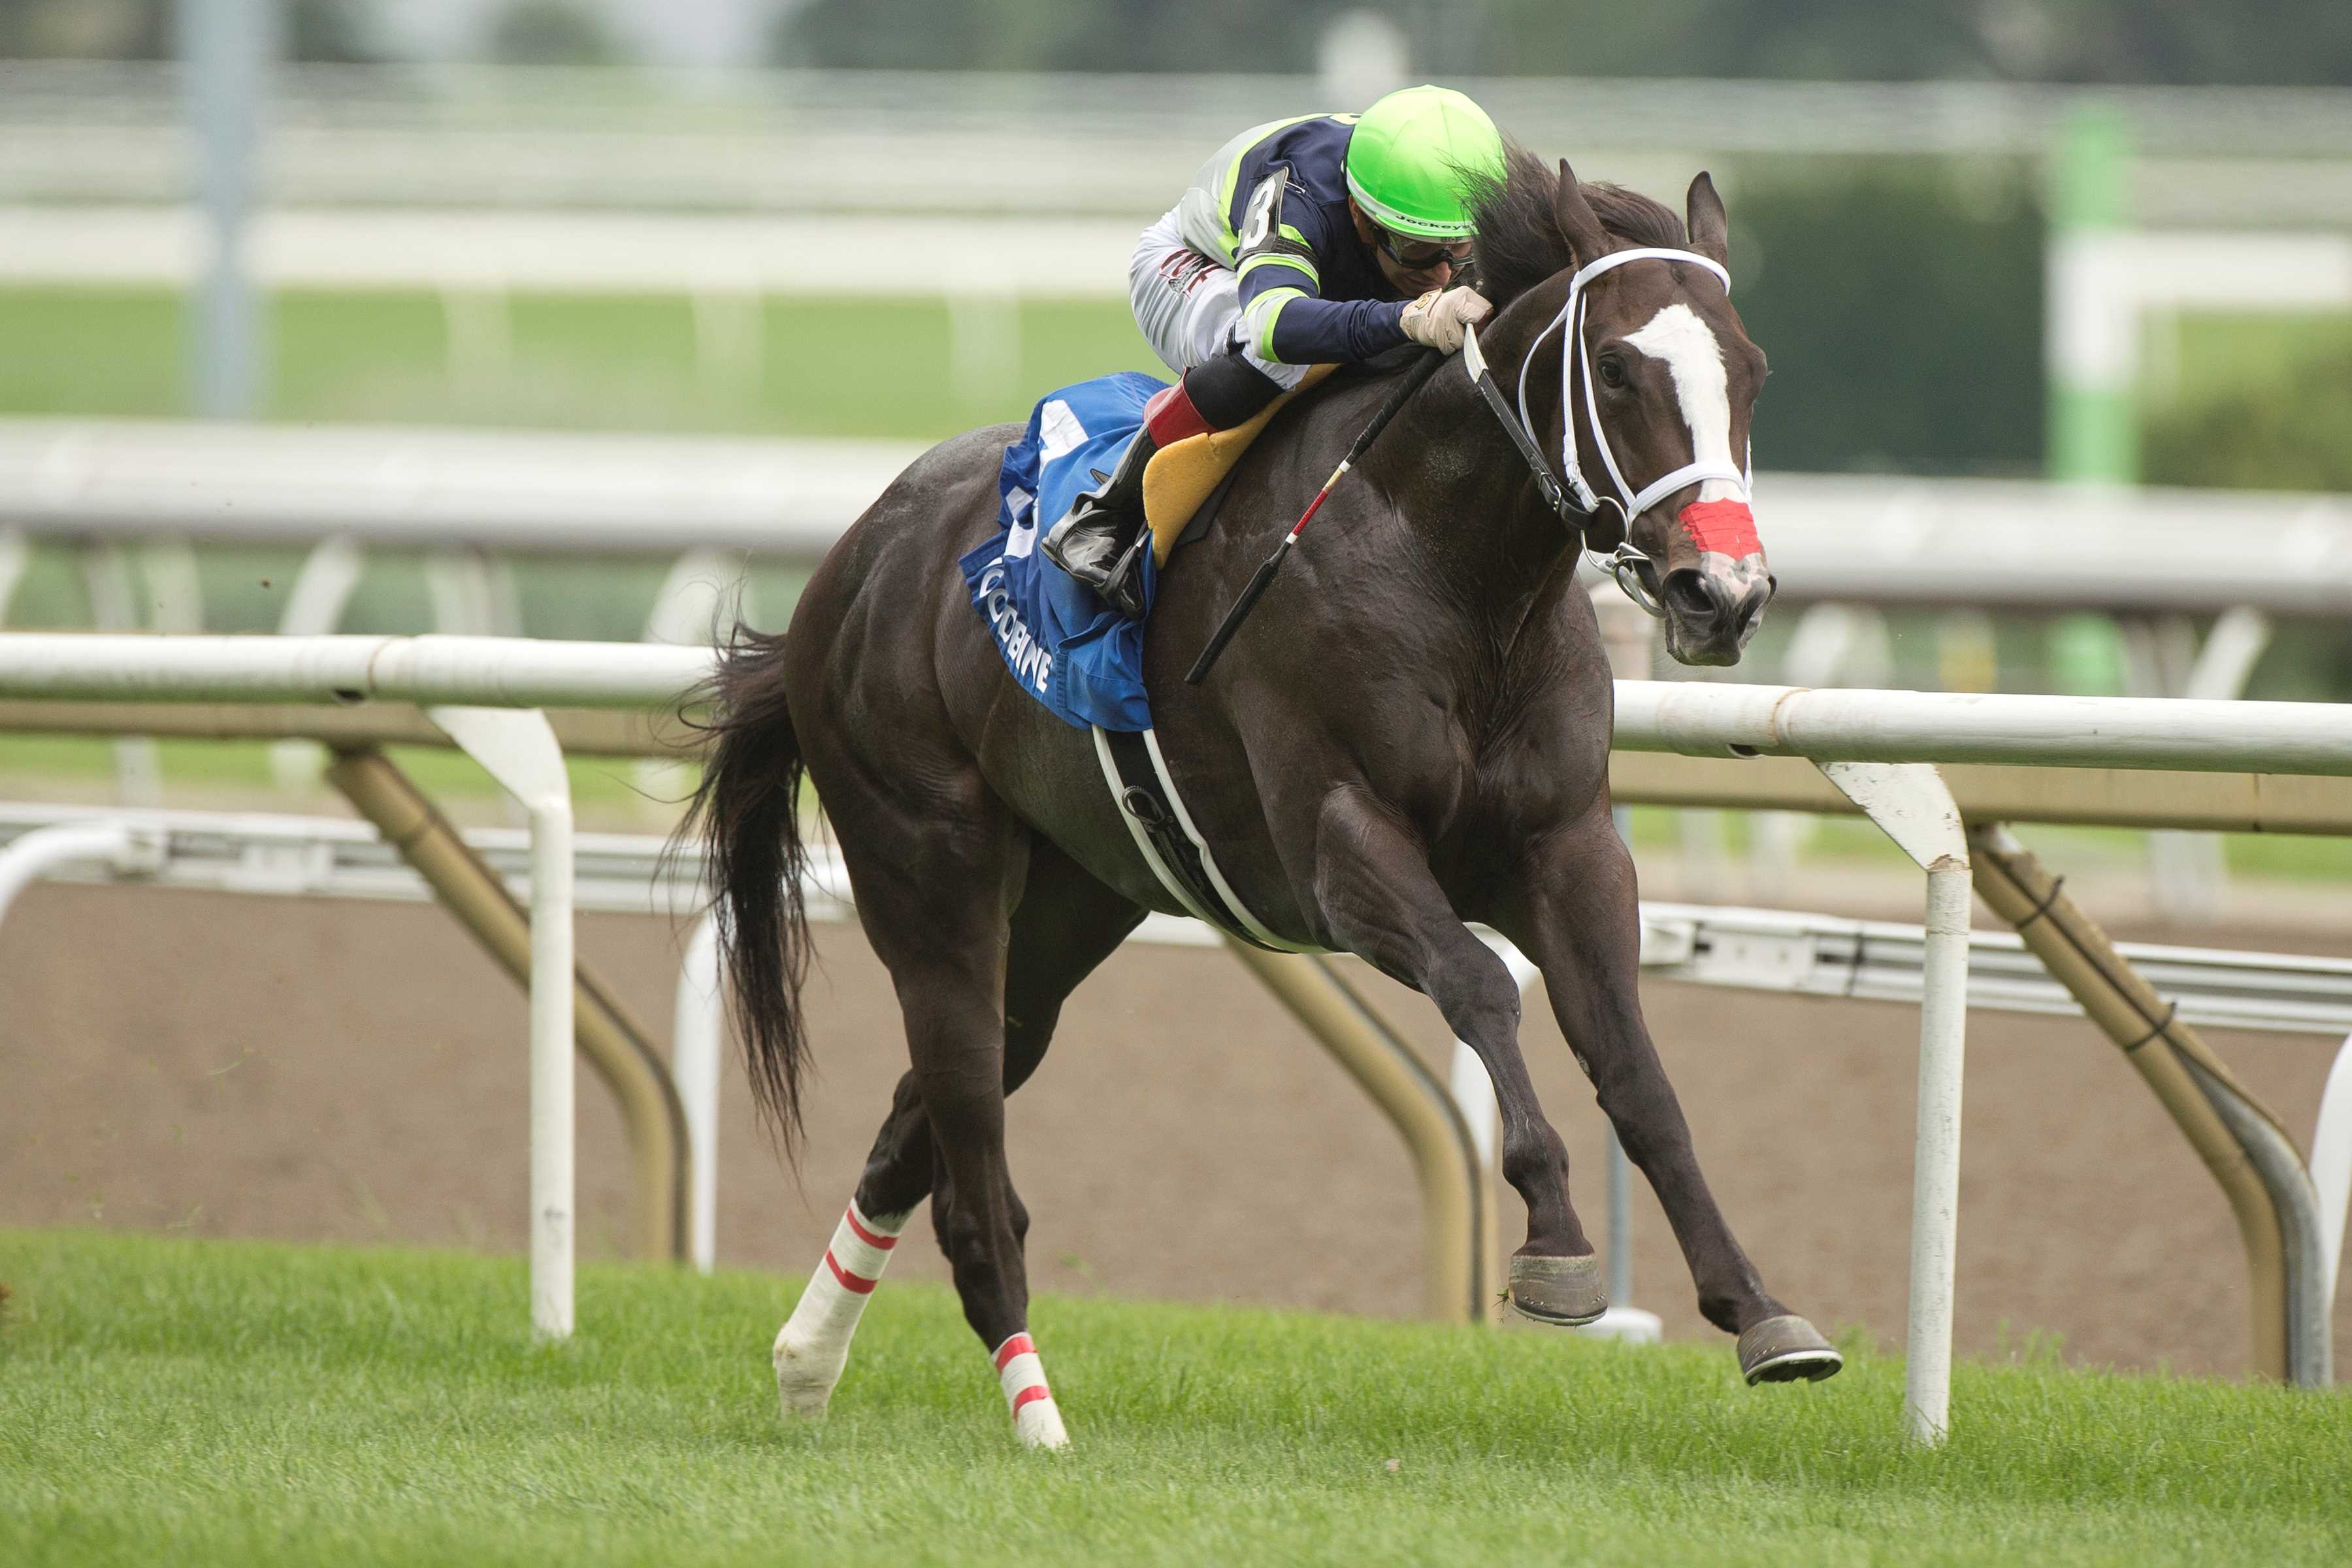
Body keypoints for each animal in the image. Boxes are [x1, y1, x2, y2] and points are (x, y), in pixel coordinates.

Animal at [687, 152, 1844, 1457]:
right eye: (1614, 368)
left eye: (1750, 372)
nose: (1723, 595)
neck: (1455, 575)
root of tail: (847, 568)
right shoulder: (1340, 844)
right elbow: (1479, 985)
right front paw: (1553, 1240)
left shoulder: (1569, 847)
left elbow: (1634, 1065)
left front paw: (1760, 1311)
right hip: (927, 871)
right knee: (972, 1160)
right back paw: (1038, 1420)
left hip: (1070, 904)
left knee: (929, 1107)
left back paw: (806, 1361)